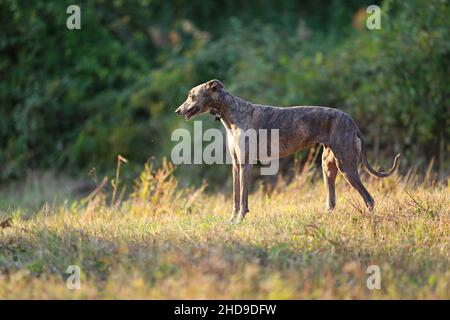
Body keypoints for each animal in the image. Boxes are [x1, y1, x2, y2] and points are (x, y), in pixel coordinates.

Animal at [176, 79, 400, 222]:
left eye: (191, 95)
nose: (177, 111)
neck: (232, 112)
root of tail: (352, 122)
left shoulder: (246, 165)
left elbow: (244, 198)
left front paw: (239, 220)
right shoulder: (236, 164)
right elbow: (235, 197)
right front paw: (232, 220)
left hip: (346, 166)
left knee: (369, 198)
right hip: (328, 167)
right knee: (332, 201)